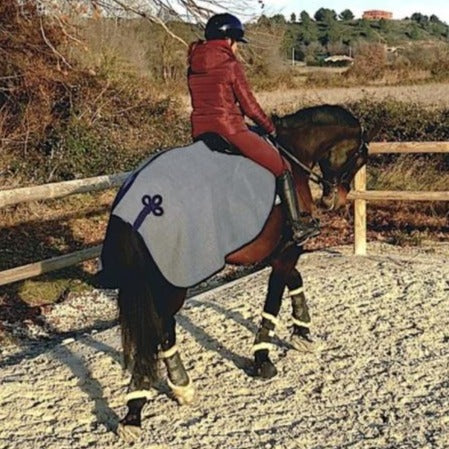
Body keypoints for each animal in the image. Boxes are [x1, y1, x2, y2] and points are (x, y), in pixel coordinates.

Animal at [99, 102, 378, 438]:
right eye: (359, 158)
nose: (333, 201)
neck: (290, 154)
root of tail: (137, 205)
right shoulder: (286, 250)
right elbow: (273, 300)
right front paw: (263, 359)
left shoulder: (280, 251)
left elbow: (294, 282)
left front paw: (302, 334)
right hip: (173, 280)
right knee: (159, 327)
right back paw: (137, 410)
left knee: (161, 328)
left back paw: (179, 387)